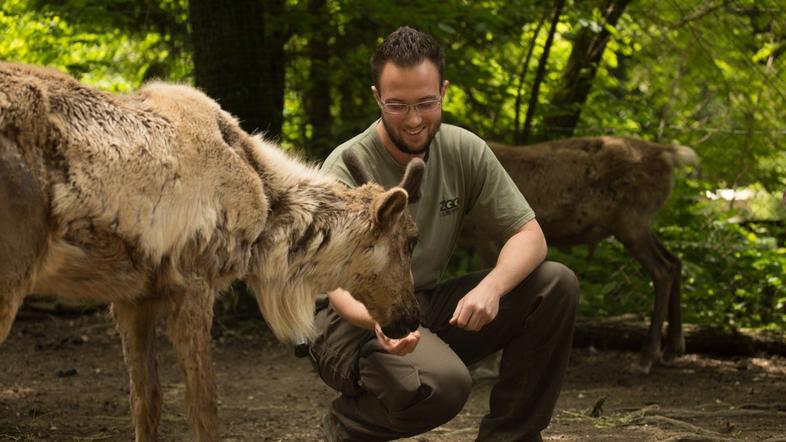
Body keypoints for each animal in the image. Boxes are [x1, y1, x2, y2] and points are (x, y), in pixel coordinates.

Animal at [462, 136, 696, 374]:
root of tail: (668, 154)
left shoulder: (486, 238)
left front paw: (487, 366)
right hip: (638, 221)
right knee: (674, 261)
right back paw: (671, 350)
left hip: (630, 217)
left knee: (662, 270)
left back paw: (645, 359)